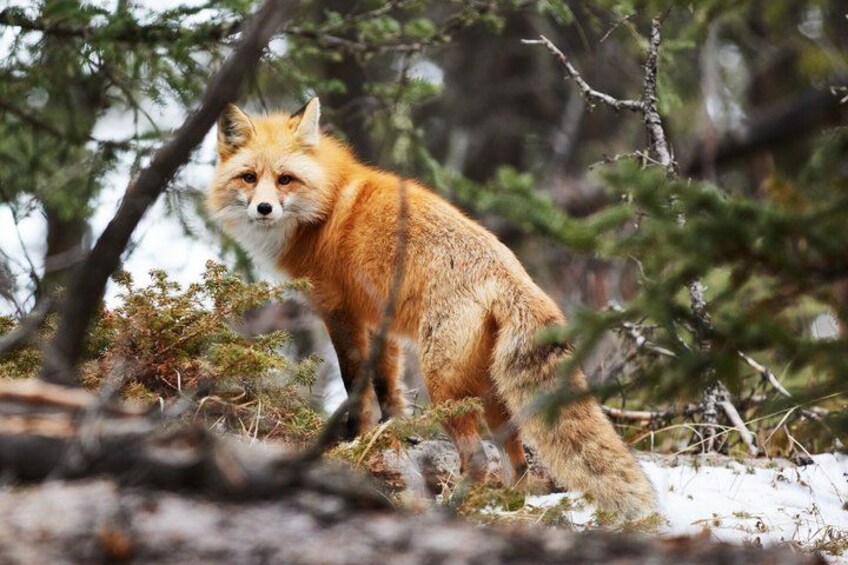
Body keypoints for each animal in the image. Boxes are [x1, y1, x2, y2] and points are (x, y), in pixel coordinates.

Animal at [206, 98, 656, 518]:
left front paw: (353, 443)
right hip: (492, 393)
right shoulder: (379, 322)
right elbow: (388, 390)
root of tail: (512, 275)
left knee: (477, 460)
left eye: (285, 179)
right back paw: (506, 505)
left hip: (442, 382)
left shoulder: (340, 312)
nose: (264, 209)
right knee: (517, 463)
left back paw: (453, 509)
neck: (326, 206)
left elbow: (356, 388)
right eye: (249, 177)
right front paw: (392, 435)